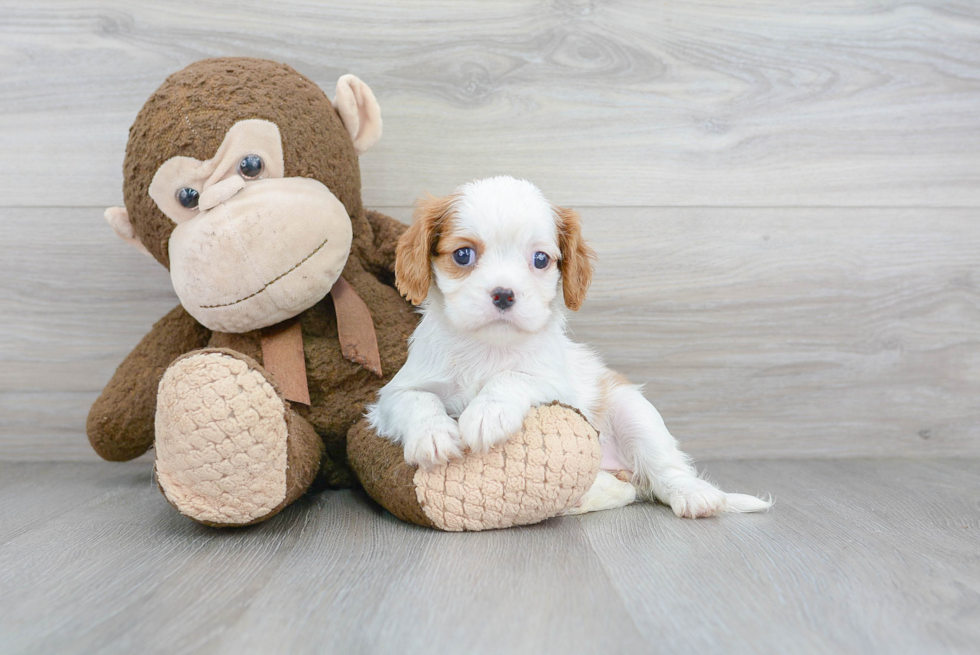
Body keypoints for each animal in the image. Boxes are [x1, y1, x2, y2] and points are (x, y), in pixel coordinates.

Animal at [364, 177, 768, 520]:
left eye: (541, 259)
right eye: (463, 255)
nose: (504, 294)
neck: (488, 347)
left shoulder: (556, 384)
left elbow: (512, 377)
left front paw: (486, 414)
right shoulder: (394, 393)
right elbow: (417, 400)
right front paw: (432, 436)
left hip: (633, 411)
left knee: (667, 470)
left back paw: (694, 494)